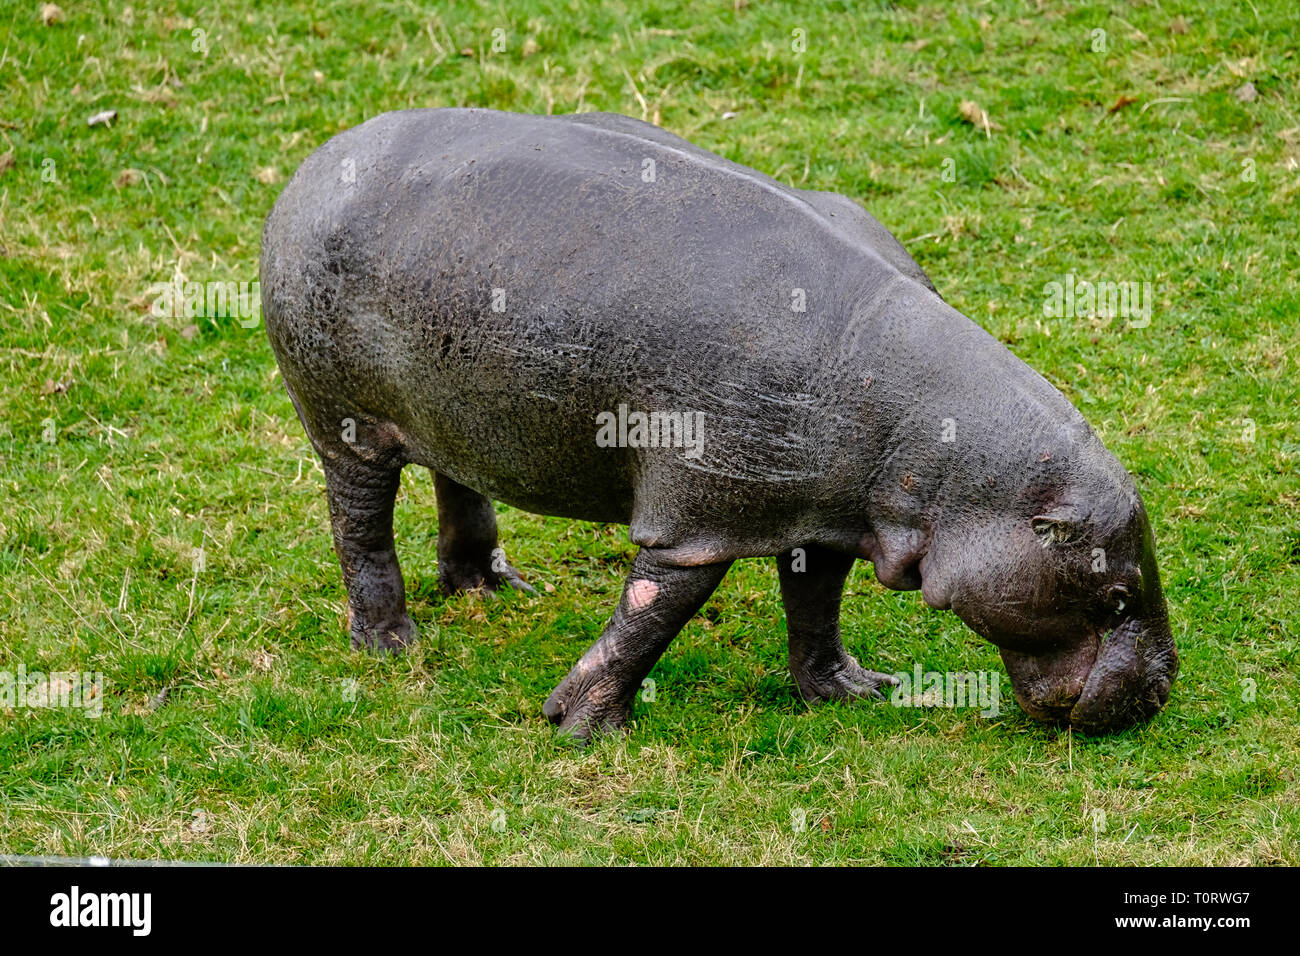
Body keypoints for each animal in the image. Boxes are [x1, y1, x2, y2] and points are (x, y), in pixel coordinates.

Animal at [261, 110, 1180, 738]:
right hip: (343, 424)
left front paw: (852, 690)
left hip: (453, 409)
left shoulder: (825, 512)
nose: (1163, 687)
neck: (944, 455)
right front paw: (583, 727)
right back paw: (393, 647)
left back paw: (491, 587)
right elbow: (646, 616)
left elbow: (815, 605)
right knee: (360, 530)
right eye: (1117, 594)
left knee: (459, 484)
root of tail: (317, 162)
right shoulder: (696, 520)